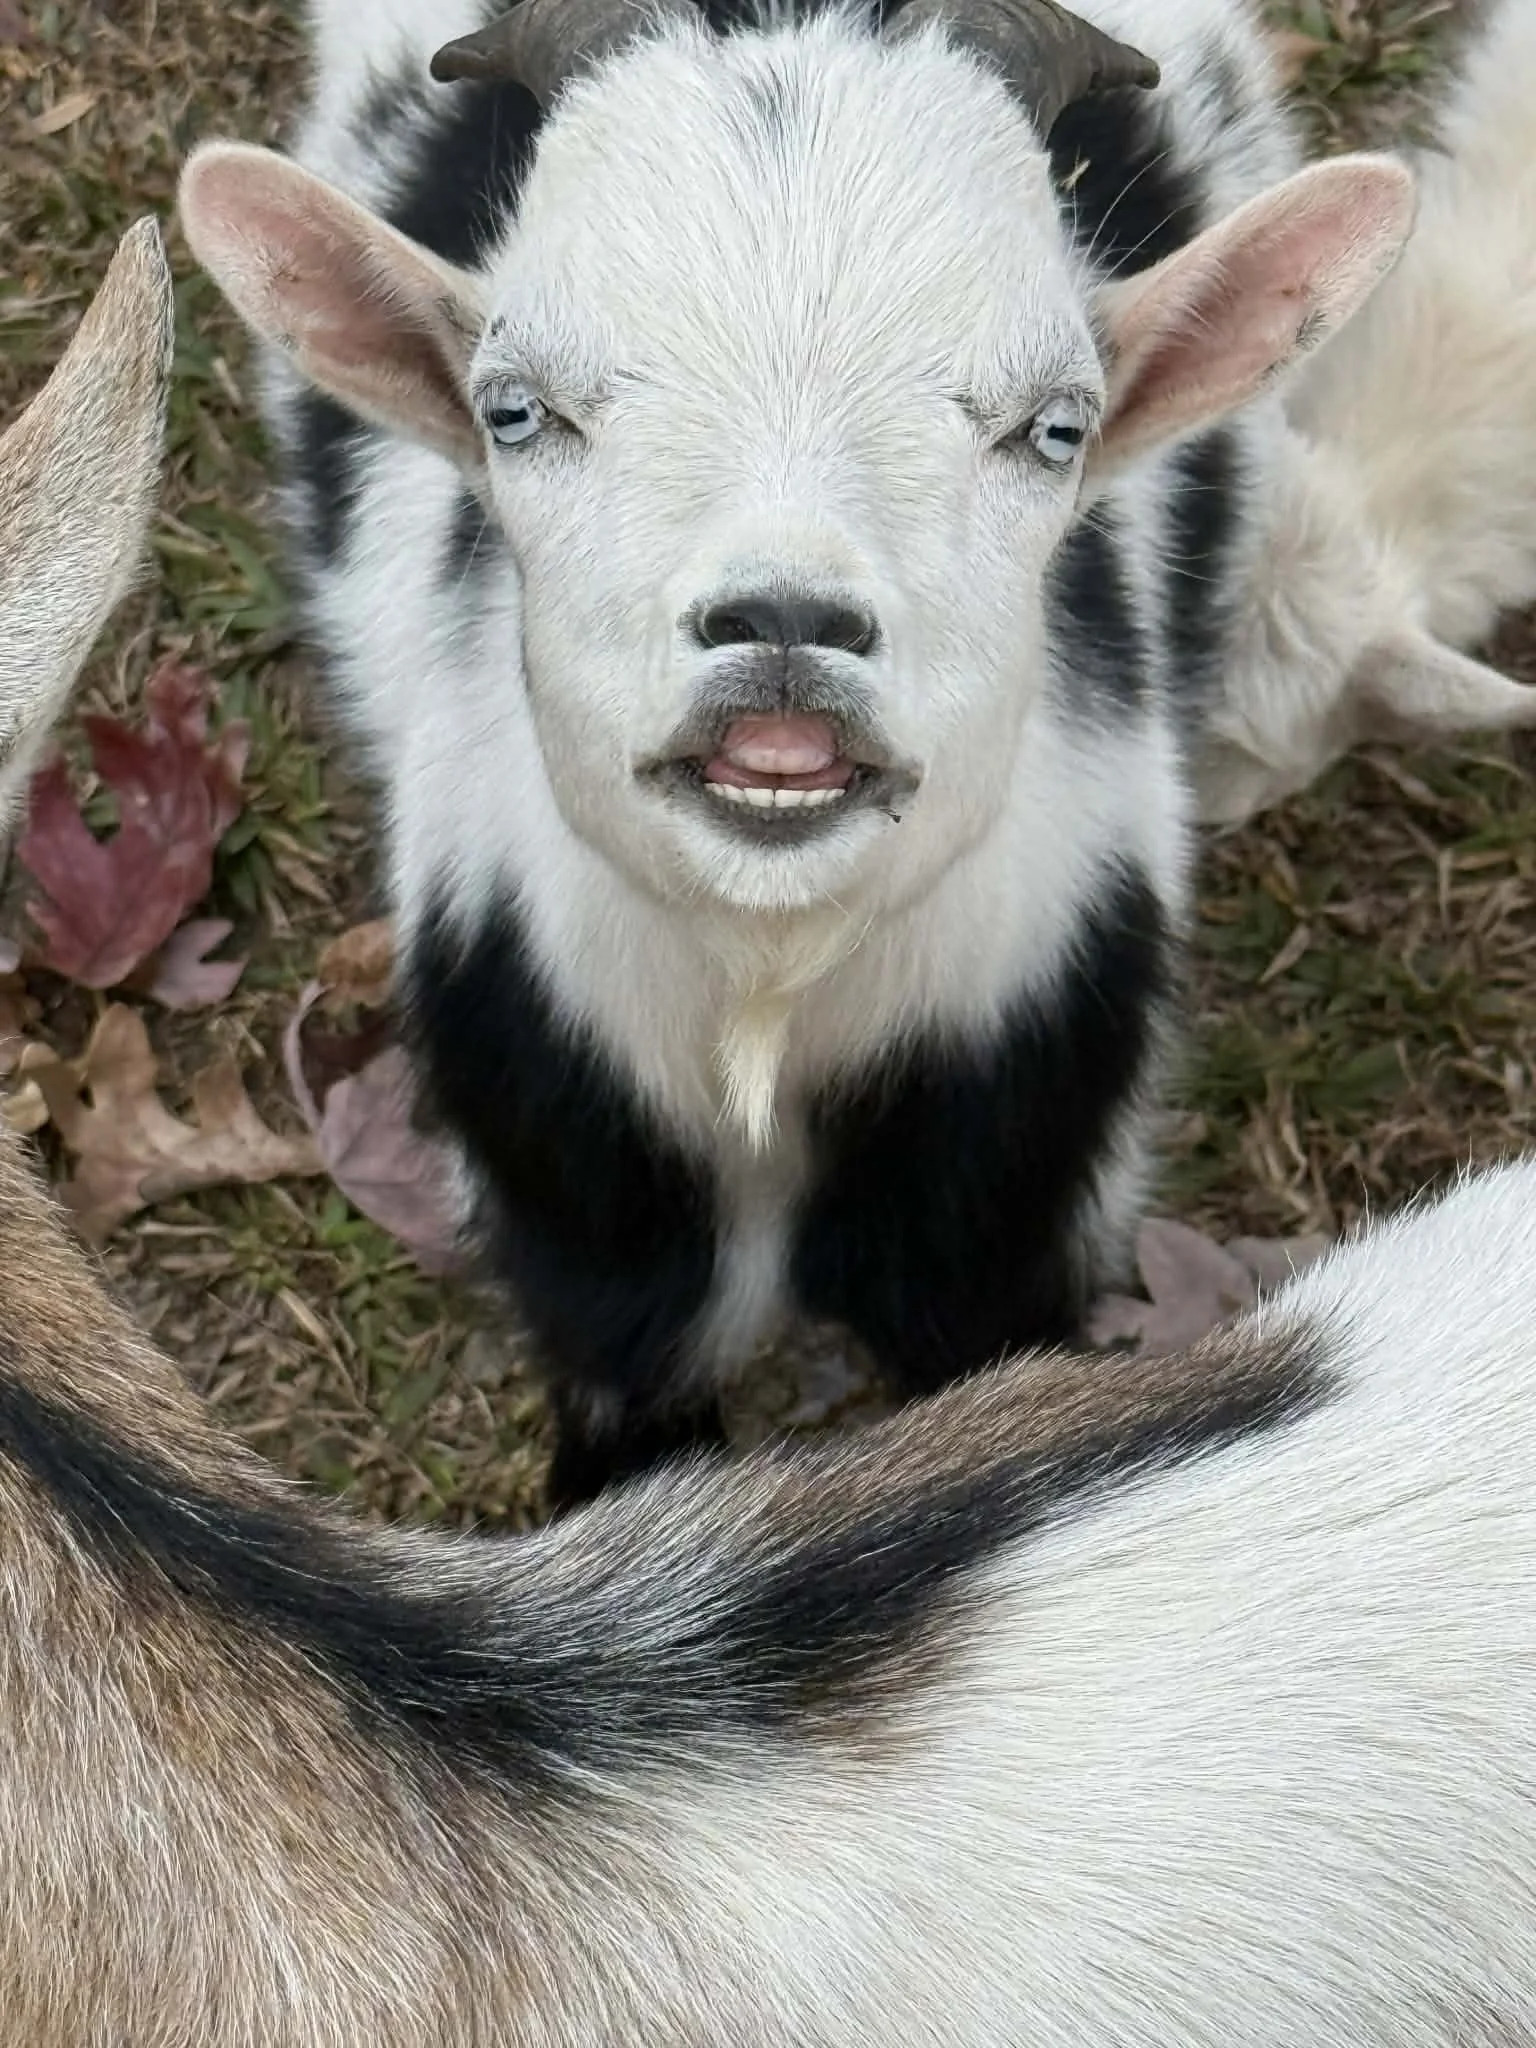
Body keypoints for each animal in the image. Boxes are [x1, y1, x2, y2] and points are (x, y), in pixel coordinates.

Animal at [178, 0, 1420, 1505]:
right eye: (515, 410)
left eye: (1056, 425)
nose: (783, 628)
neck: (766, 997)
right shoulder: (583, 1211)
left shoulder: (1008, 1190)